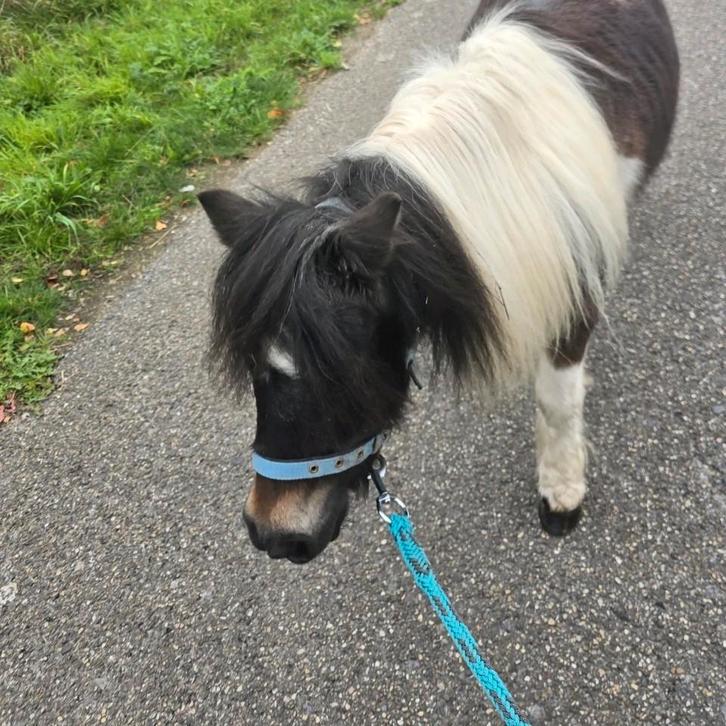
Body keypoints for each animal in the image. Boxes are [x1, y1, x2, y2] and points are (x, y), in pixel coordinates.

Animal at [199, 0, 679, 564]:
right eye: (252, 365)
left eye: (336, 369)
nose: (272, 534)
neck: (505, 165)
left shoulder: (574, 291)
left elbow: (558, 402)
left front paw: (562, 492)